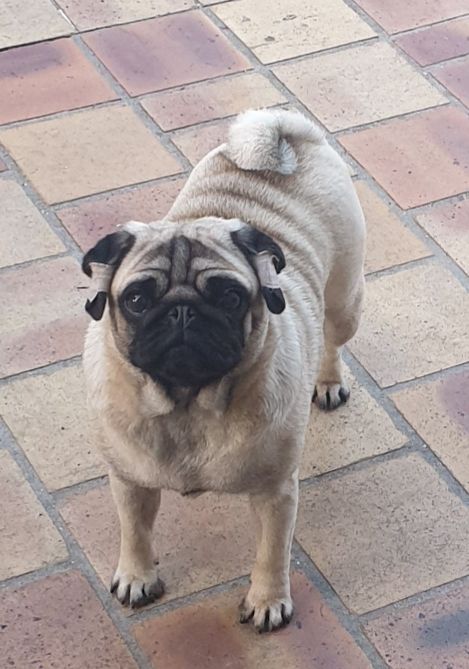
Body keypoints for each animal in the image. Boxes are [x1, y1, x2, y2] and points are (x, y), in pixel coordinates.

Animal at [82, 108, 365, 632]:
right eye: (137, 300)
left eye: (231, 297)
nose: (183, 312)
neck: (187, 405)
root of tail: (283, 133)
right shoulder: (129, 481)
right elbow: (135, 532)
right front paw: (136, 575)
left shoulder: (276, 493)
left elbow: (271, 552)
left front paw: (268, 600)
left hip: (344, 302)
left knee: (333, 339)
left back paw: (329, 381)